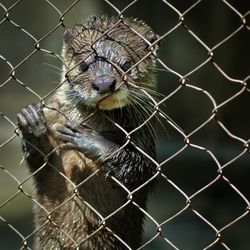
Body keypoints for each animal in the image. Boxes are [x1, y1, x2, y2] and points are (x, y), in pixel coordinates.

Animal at [17, 16, 158, 249]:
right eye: (84, 65)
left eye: (126, 65)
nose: (104, 83)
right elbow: (40, 163)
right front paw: (31, 122)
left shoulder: (143, 133)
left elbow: (141, 170)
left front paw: (89, 140)